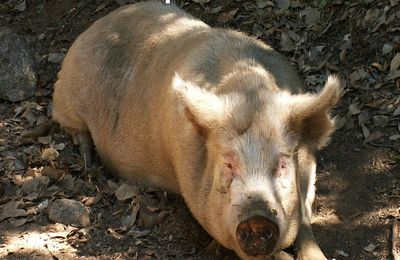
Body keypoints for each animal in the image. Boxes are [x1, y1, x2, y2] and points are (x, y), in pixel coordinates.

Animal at [51, 1, 342, 258]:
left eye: (282, 163)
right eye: (228, 163)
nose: (257, 219)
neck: (249, 94)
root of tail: (95, 26)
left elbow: (305, 224)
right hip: (66, 98)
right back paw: (88, 165)